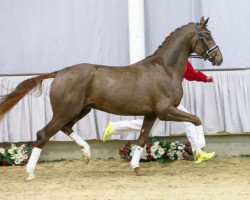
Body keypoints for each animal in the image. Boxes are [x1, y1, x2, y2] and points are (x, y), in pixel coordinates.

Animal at [0, 17, 223, 180]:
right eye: (207, 35)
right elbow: (196, 119)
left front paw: (136, 168)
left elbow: (142, 139)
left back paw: (86, 154)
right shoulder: (165, 111)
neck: (164, 70)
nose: (219, 58)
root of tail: (59, 73)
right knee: (43, 135)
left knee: (65, 128)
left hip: (81, 110)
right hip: (66, 111)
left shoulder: (151, 114)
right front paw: (201, 150)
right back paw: (30, 173)